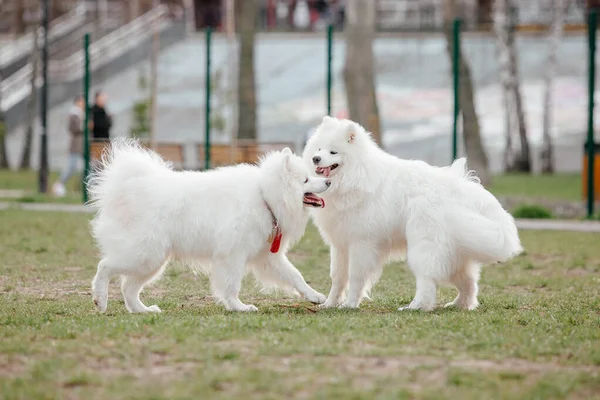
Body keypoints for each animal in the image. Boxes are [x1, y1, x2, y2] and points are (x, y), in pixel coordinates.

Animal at [89, 140, 328, 312]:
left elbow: (295, 276)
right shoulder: (232, 255)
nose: (327, 181)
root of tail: (131, 189)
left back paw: (143, 310)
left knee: (128, 288)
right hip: (145, 255)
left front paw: (315, 296)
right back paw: (100, 299)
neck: (265, 197)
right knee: (105, 266)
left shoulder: (267, 257)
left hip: (152, 262)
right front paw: (239, 307)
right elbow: (232, 285)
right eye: (306, 180)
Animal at [302, 117, 524, 310]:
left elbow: (356, 277)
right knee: (468, 282)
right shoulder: (340, 245)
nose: (315, 158)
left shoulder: (362, 243)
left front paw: (350, 305)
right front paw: (329, 304)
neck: (356, 175)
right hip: (453, 254)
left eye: (333, 152)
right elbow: (338, 278)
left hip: (423, 246)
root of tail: (462, 190)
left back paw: (415, 307)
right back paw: (459, 305)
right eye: (319, 149)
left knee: (427, 281)